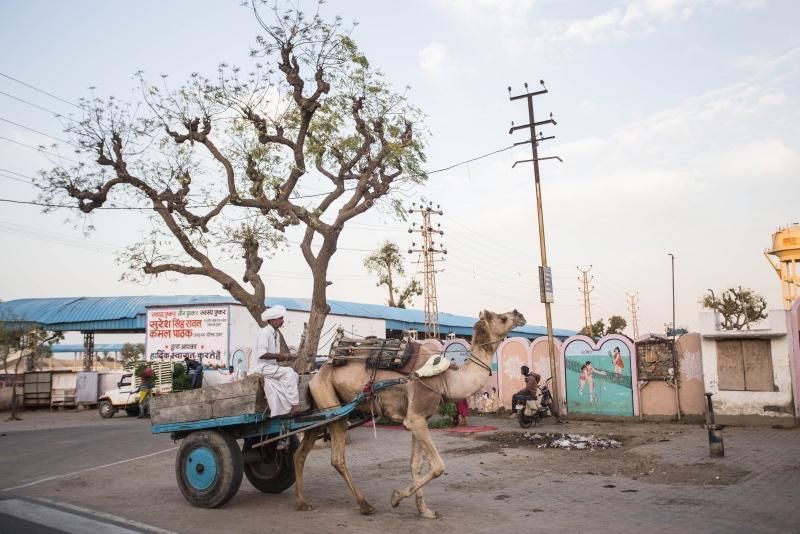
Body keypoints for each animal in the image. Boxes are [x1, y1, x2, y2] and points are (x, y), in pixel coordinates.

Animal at [294, 310, 524, 520]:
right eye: (502, 318)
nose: (519, 314)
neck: (446, 379)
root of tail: (315, 376)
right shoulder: (416, 418)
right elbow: (438, 466)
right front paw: (396, 498)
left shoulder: (418, 420)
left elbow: (416, 464)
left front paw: (424, 510)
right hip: (332, 406)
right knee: (337, 458)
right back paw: (365, 505)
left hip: (319, 411)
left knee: (301, 452)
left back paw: (303, 502)